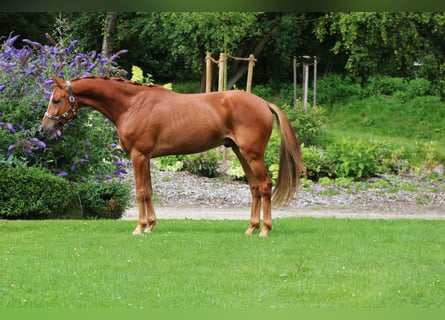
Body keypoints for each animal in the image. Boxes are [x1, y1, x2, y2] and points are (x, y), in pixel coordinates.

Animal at [40, 76, 304, 236]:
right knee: (255, 187)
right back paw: (251, 228)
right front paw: (150, 225)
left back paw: (265, 230)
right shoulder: (145, 157)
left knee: (265, 185)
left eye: (56, 100)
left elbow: (140, 191)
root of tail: (264, 103)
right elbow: (149, 191)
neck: (133, 105)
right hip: (240, 153)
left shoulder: (138, 156)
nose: (44, 128)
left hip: (253, 154)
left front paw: (139, 228)